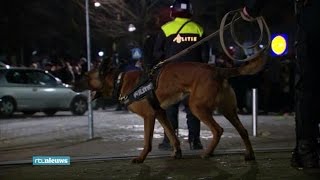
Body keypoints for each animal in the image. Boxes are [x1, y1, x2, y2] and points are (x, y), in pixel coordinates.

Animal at [73, 56, 264, 163]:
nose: (71, 84)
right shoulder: (160, 113)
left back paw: (208, 153)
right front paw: (177, 153)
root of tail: (217, 69)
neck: (119, 80)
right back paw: (250, 155)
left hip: (197, 107)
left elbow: (147, 141)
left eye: (85, 76)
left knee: (218, 130)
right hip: (228, 110)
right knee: (243, 131)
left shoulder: (149, 116)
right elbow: (172, 135)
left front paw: (141, 158)